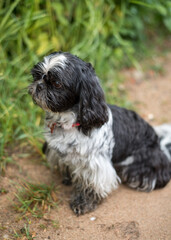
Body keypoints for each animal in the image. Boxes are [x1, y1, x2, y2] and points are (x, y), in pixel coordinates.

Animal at [28, 51, 171, 215]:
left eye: (57, 83)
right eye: (36, 75)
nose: (39, 85)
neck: (69, 124)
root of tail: (158, 142)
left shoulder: (95, 165)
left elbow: (91, 186)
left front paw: (83, 202)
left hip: (139, 165)